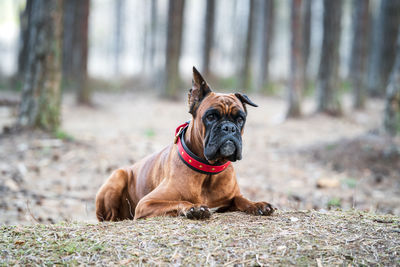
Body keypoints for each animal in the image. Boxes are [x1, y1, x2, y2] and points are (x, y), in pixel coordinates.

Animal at [96, 67, 276, 222]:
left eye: (240, 119)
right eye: (211, 117)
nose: (229, 127)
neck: (208, 171)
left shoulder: (231, 199)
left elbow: (241, 199)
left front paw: (257, 204)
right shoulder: (147, 203)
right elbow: (178, 202)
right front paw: (194, 208)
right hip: (118, 176)